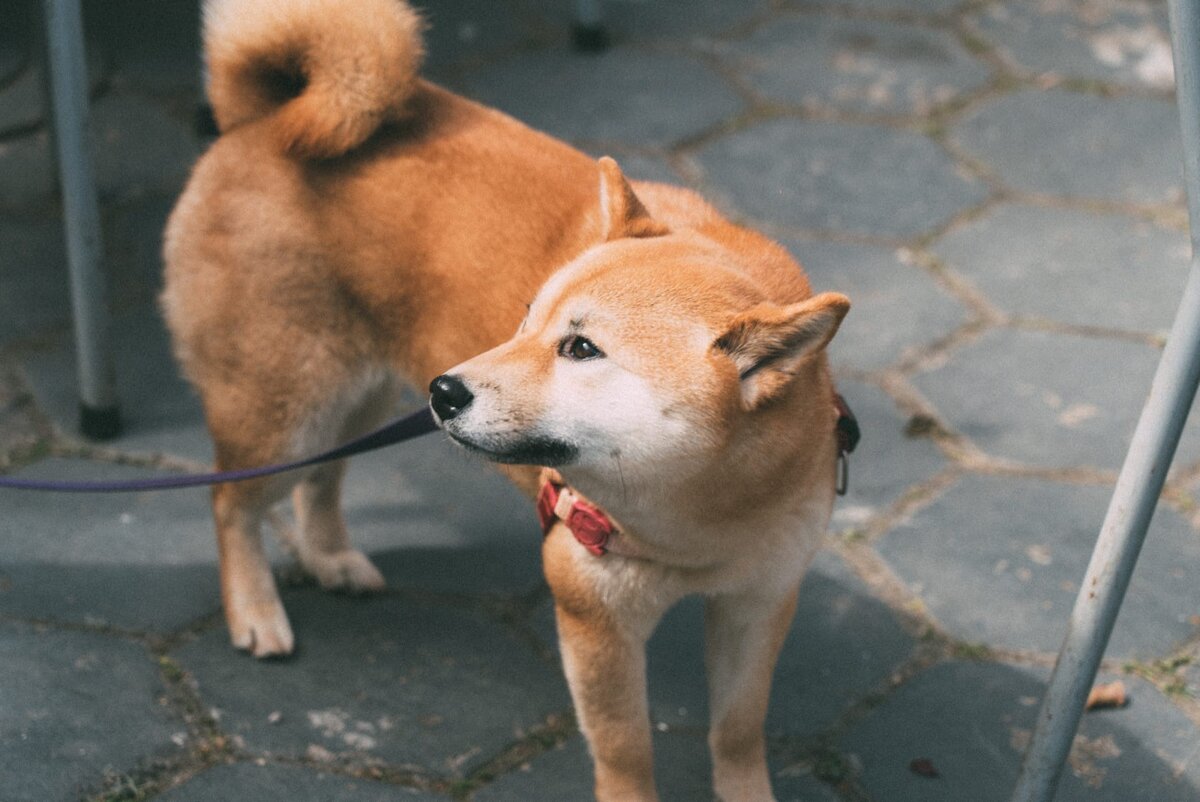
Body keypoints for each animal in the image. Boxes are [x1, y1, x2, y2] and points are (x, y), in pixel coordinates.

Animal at [164, 0, 849, 797]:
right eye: (526, 320)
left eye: (579, 348)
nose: (445, 389)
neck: (702, 520)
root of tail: (264, 119)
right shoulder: (592, 611)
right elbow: (626, 749)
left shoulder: (759, 602)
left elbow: (737, 732)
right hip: (286, 406)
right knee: (231, 501)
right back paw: (254, 610)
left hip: (360, 394)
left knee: (322, 478)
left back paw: (329, 556)